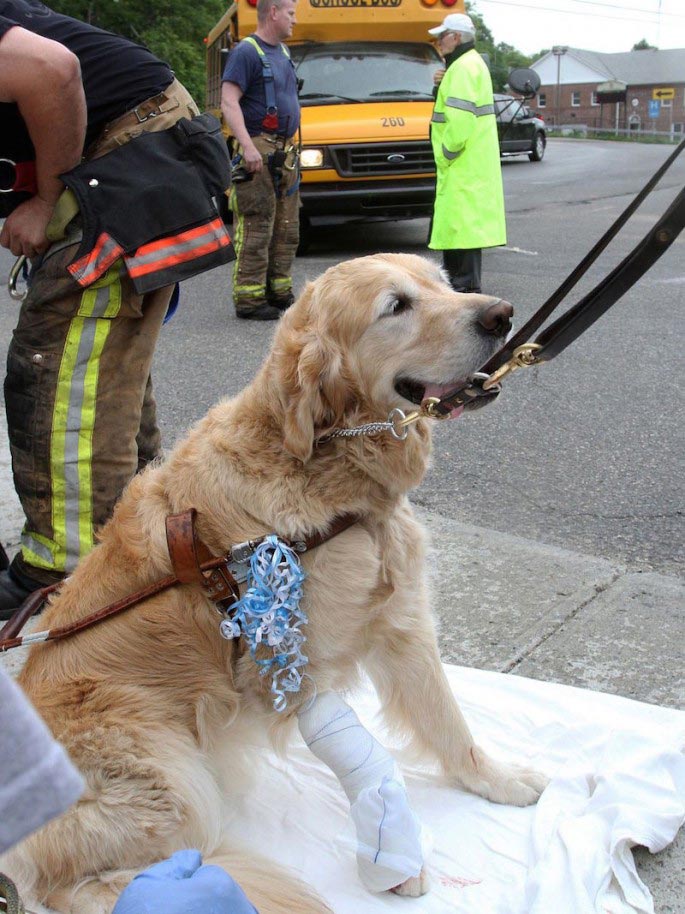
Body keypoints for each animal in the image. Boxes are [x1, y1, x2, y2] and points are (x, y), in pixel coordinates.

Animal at [1, 251, 544, 912]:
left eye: (443, 282)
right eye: (396, 306)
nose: (502, 315)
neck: (325, 464)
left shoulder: (403, 623)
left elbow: (448, 721)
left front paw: (498, 781)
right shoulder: (290, 666)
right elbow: (369, 757)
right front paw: (393, 860)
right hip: (173, 780)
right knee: (84, 888)